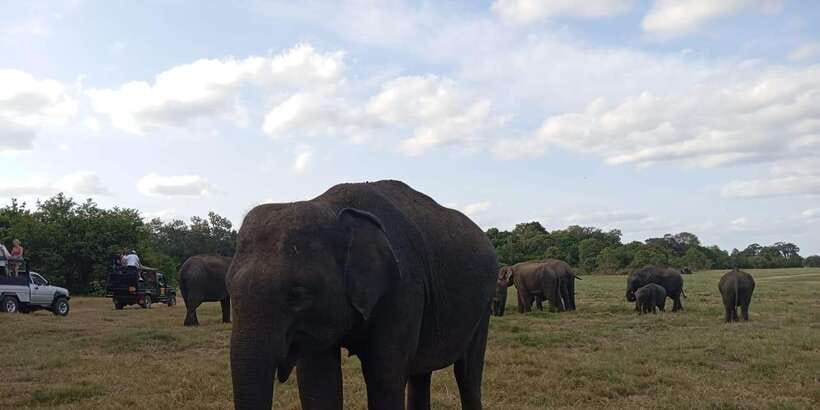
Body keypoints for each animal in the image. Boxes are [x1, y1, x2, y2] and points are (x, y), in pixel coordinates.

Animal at [227, 180, 497, 410]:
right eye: (229, 289)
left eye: (297, 294)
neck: (333, 207)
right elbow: (318, 381)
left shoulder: (403, 288)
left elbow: (385, 377)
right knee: (421, 371)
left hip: (484, 303)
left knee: (467, 373)